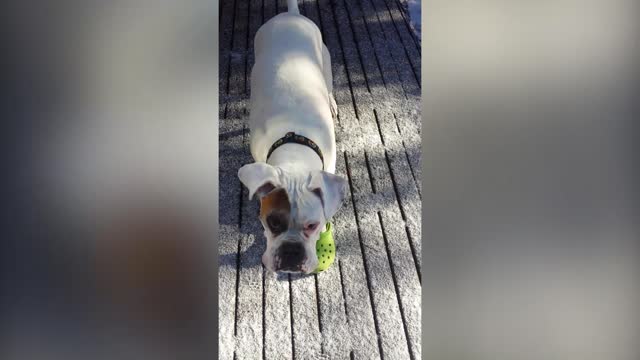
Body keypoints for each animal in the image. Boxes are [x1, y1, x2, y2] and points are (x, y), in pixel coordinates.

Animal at [238, 1, 344, 274]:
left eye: (313, 226)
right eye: (272, 222)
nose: (291, 252)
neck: (296, 149)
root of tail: (291, 14)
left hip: (326, 63)